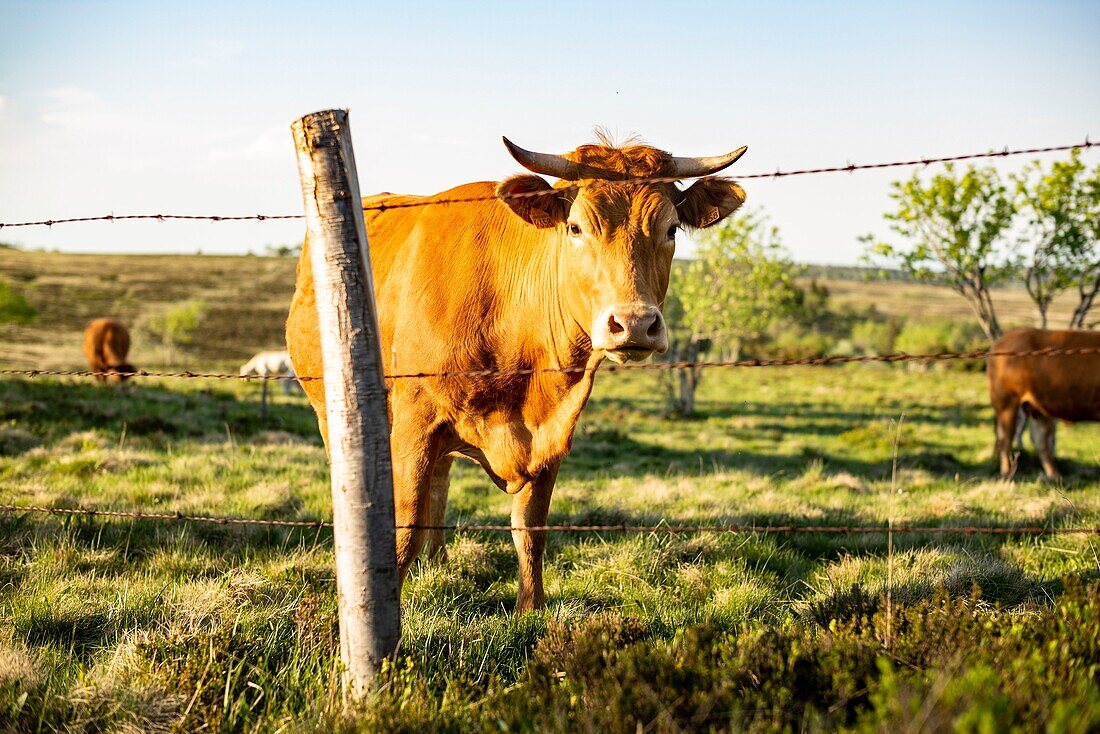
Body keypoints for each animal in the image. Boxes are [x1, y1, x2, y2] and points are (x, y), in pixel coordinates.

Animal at [286, 133, 748, 616]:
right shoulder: (415, 426)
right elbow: (404, 529)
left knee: (440, 481)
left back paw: (439, 561)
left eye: (671, 229)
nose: (635, 323)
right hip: (331, 412)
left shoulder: (552, 432)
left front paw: (531, 609)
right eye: (576, 228)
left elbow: (530, 529)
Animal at [990, 327, 1100, 481]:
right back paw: (1007, 475)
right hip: (1006, 402)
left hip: (1036, 407)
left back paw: (1055, 476)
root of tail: (1006, 336)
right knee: (1005, 438)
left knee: (1039, 440)